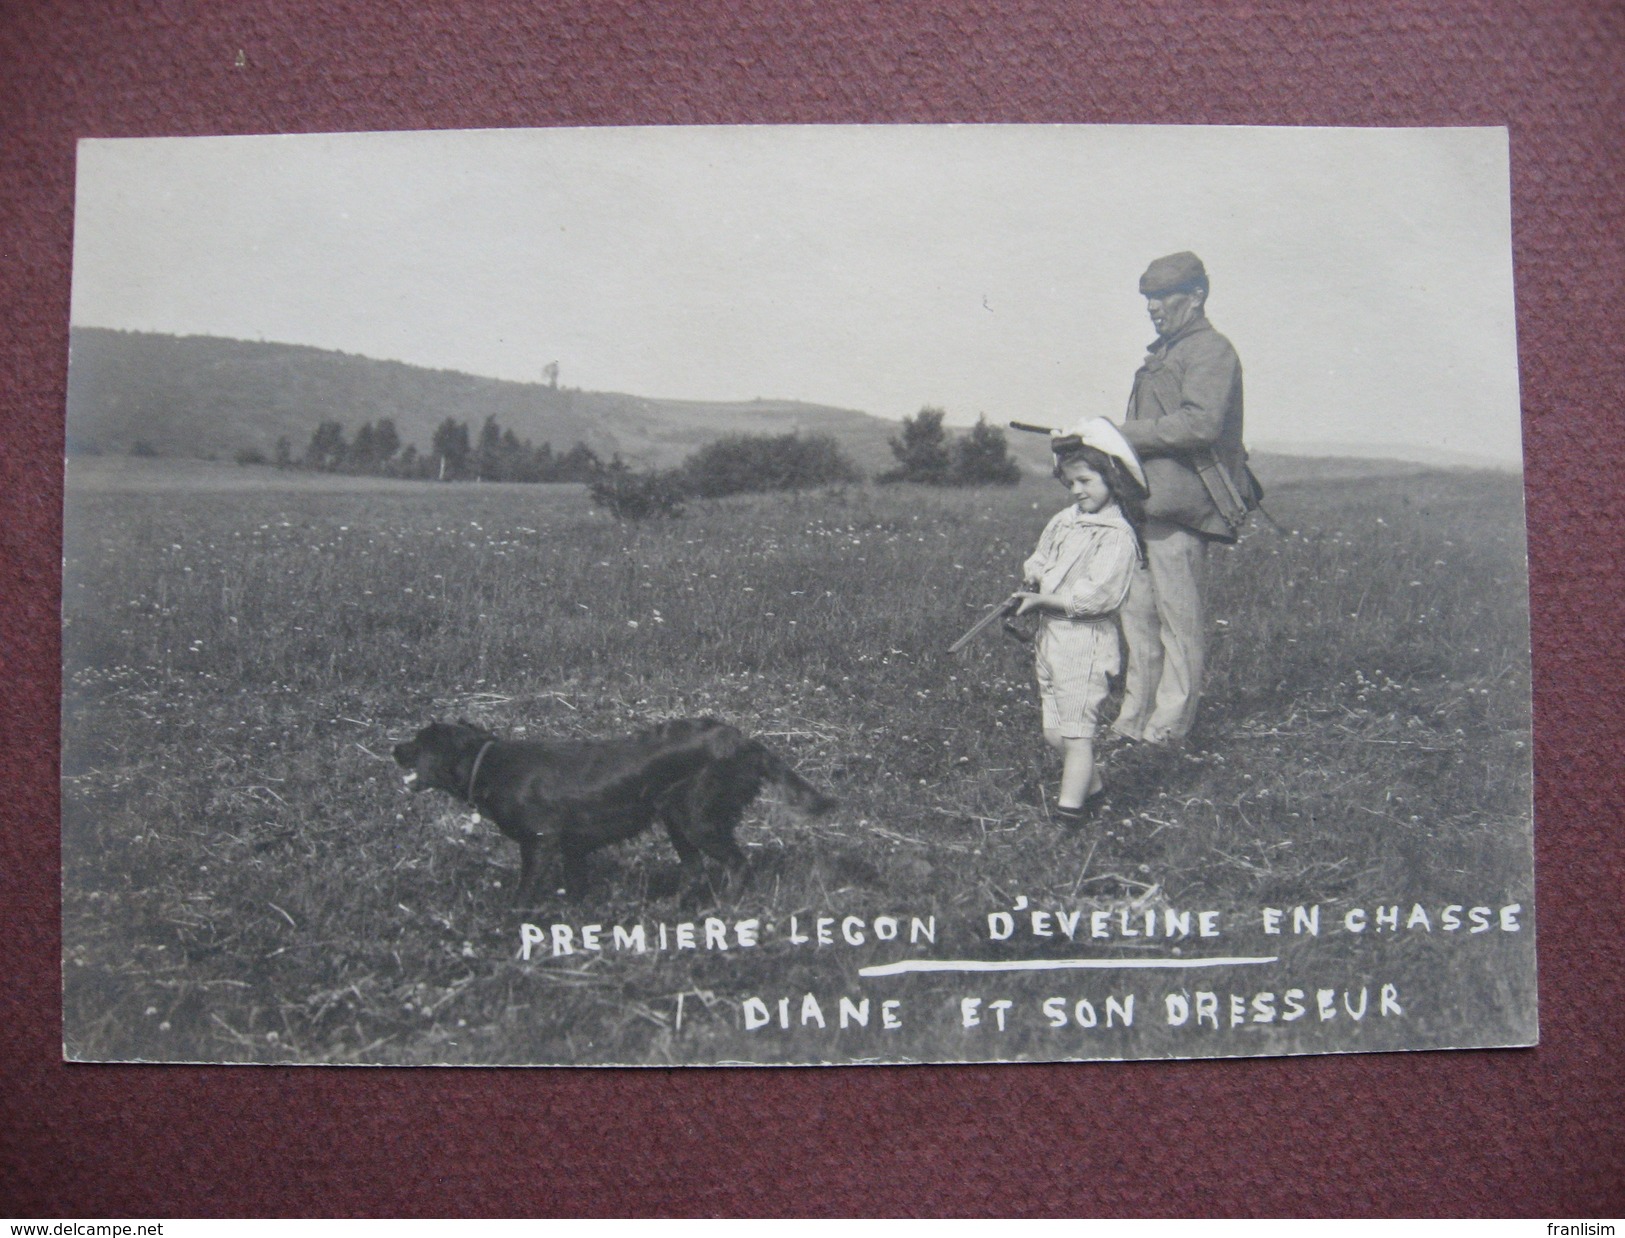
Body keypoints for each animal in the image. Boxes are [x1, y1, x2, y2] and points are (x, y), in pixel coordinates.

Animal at [386, 714, 832, 896]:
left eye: (419, 742)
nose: (393, 750)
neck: (490, 762)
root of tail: (744, 740)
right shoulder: (571, 849)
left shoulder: (540, 842)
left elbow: (524, 891)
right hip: (676, 820)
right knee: (694, 871)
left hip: (697, 818)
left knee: (738, 865)